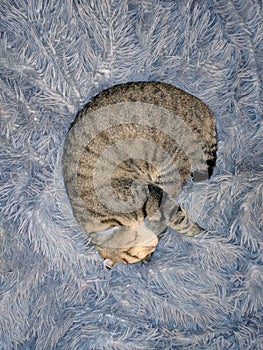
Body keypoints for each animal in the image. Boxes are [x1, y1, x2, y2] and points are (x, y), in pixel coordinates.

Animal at [63, 81, 218, 268]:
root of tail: (201, 106)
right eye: (134, 255)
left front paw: (204, 235)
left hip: (168, 166)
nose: (153, 246)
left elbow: (181, 222)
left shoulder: (153, 195)